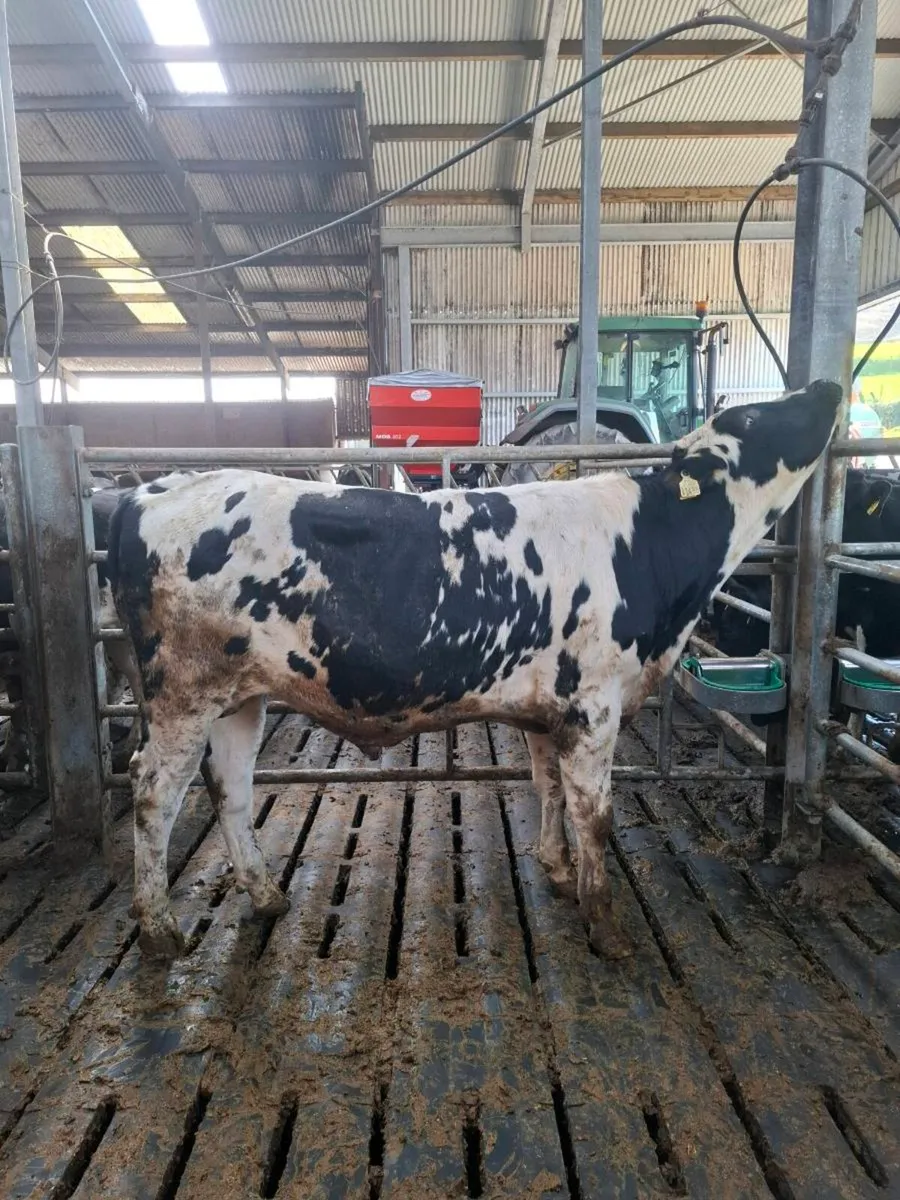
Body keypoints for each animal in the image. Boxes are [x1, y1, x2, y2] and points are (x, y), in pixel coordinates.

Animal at [107, 380, 842, 961]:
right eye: (754, 419)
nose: (829, 385)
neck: (650, 546)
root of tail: (152, 489)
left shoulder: (551, 711)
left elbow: (548, 788)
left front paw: (555, 870)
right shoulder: (594, 707)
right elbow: (596, 815)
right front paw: (605, 925)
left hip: (238, 697)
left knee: (229, 788)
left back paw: (266, 897)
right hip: (182, 696)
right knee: (154, 793)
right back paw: (160, 932)